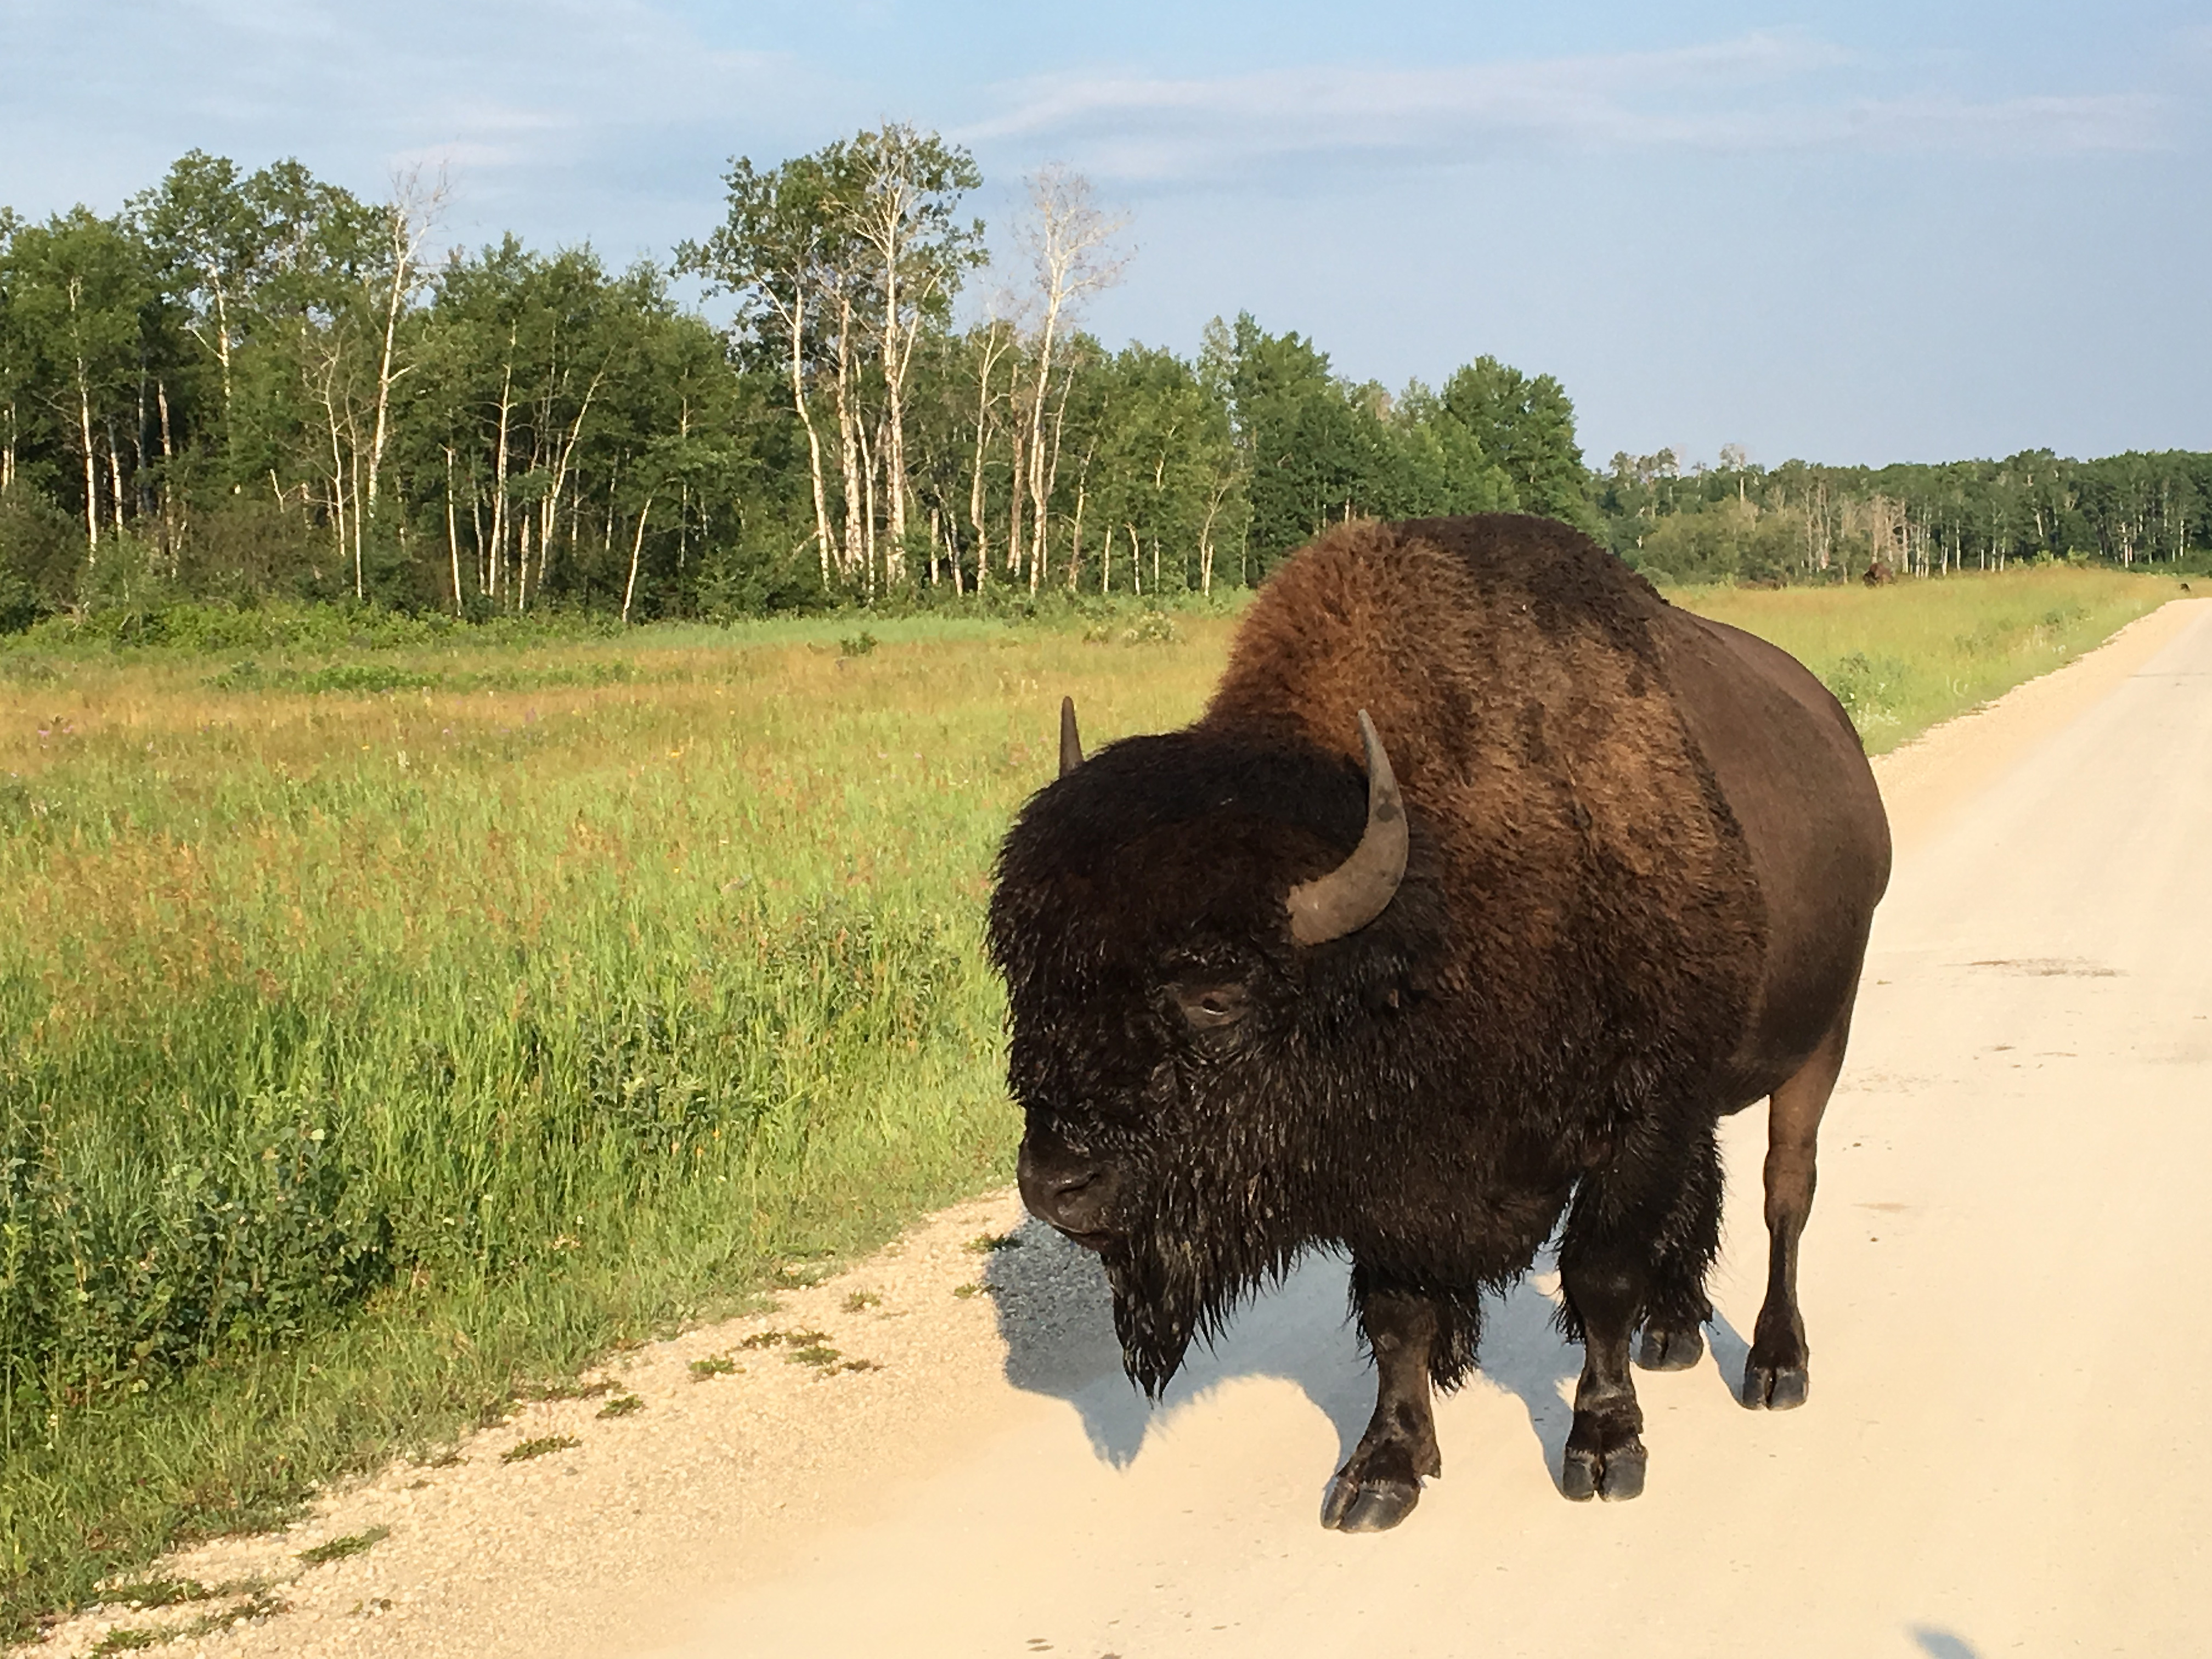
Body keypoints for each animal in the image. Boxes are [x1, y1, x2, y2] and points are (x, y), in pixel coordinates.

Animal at [995, 517, 1893, 1531]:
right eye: (1026, 980)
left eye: (1216, 994)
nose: (1058, 1184)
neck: (1424, 915)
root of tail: (1838, 738)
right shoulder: (1393, 1176)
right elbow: (1398, 1314)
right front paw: (1381, 1470)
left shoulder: (1636, 1114)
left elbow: (1599, 1275)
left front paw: (1603, 1449)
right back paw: (1673, 1329)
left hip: (1824, 1035)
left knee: (1787, 1190)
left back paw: (1776, 1365)